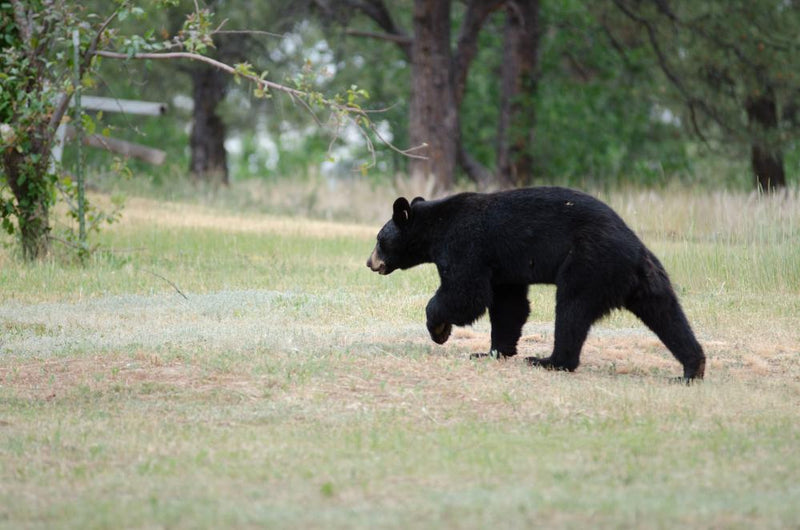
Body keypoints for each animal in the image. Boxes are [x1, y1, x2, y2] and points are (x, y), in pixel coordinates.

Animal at [366, 187, 706, 381]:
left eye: (379, 240)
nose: (370, 262)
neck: (435, 227)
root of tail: (634, 250)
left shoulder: (466, 245)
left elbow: (466, 293)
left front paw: (438, 329)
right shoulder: (503, 266)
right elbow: (509, 305)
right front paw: (492, 352)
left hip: (588, 264)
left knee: (571, 310)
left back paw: (549, 360)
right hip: (646, 278)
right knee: (667, 315)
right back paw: (692, 367)